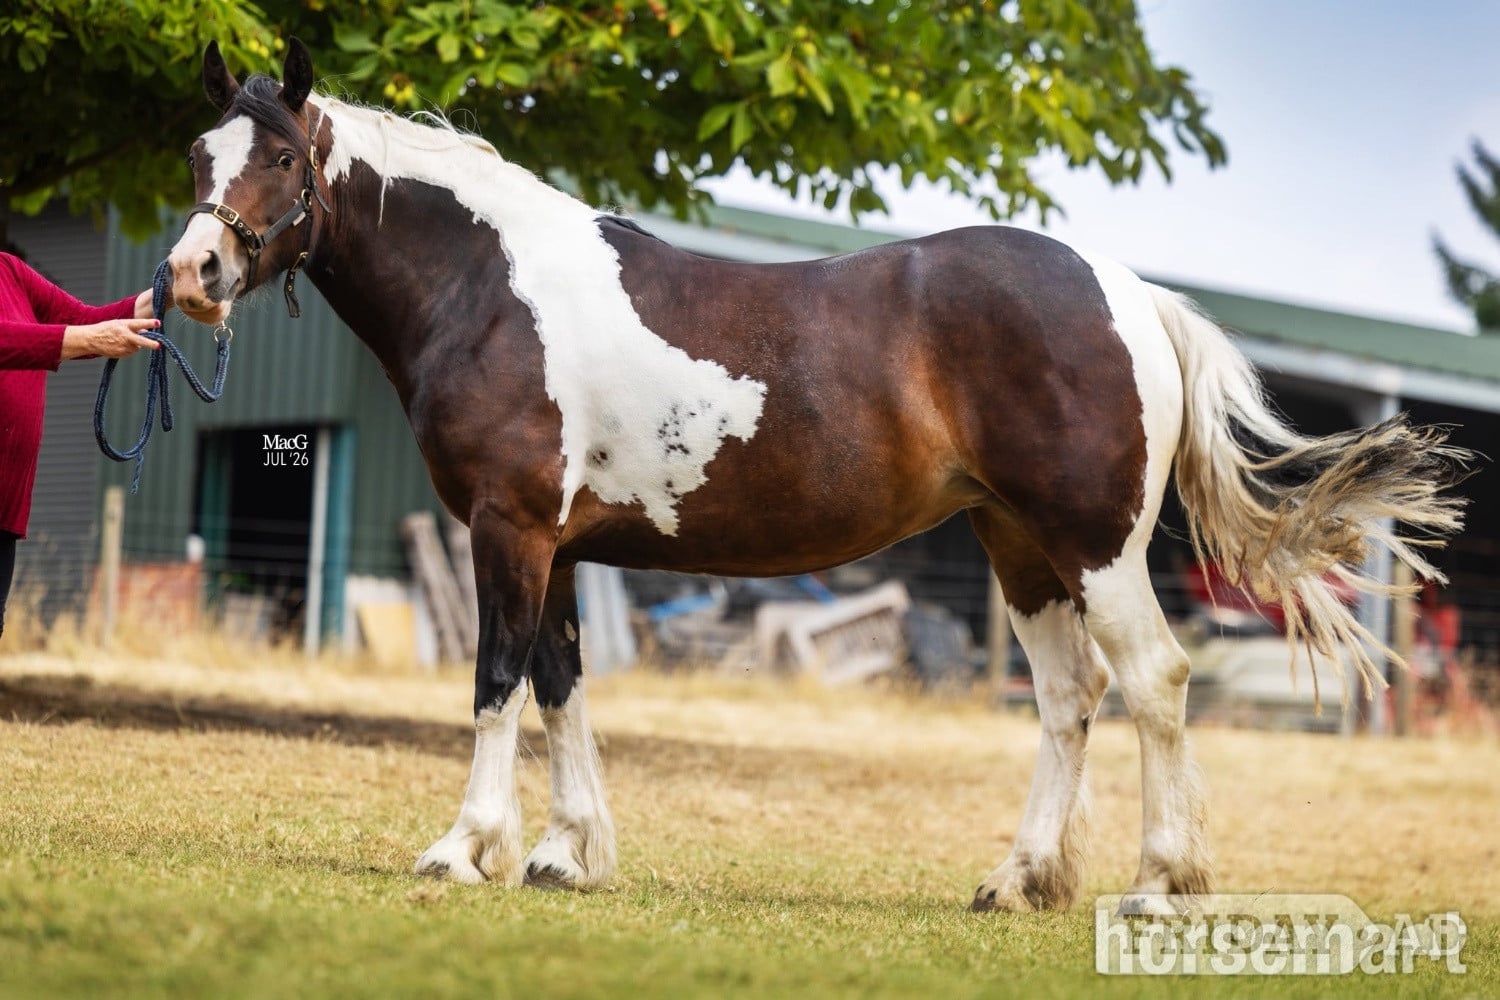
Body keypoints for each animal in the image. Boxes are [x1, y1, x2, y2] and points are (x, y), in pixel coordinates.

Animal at [166, 39, 1466, 912]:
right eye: (196, 153)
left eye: (279, 155)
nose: (191, 273)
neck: (491, 286)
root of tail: (1130, 294)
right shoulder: (560, 546)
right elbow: (562, 687)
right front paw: (565, 854)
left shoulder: (511, 529)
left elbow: (495, 682)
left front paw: (463, 847)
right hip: (1020, 549)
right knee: (1067, 698)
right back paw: (1017, 879)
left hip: (1093, 548)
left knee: (1155, 680)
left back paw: (1159, 883)